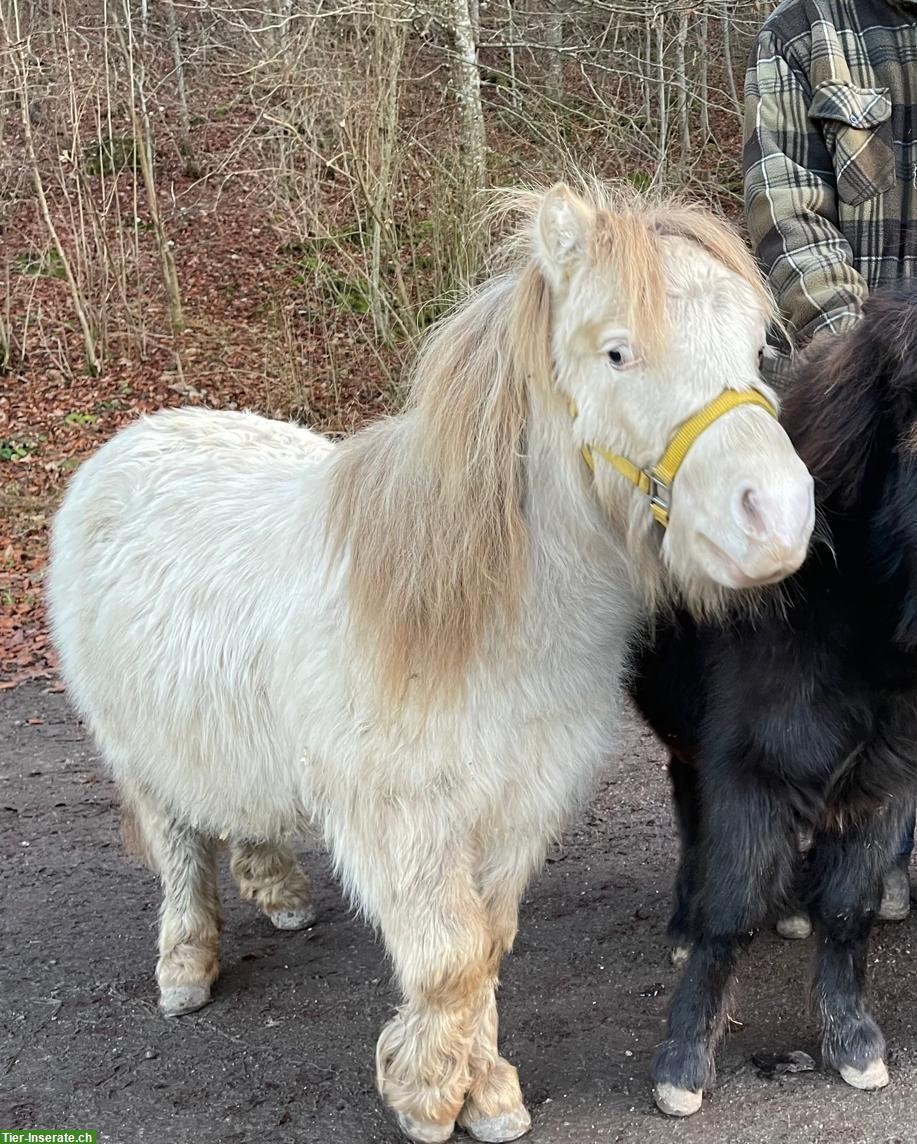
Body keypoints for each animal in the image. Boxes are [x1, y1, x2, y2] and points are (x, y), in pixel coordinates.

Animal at [46, 181, 813, 1144]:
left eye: (756, 349)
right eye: (617, 352)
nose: (776, 519)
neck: (469, 618)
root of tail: (133, 438)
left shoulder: (517, 807)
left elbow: (483, 949)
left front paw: (487, 1099)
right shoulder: (404, 821)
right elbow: (449, 961)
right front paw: (428, 1100)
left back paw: (279, 890)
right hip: (139, 747)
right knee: (180, 841)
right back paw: (185, 967)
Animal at [629, 285, 917, 1119]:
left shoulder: (885, 780)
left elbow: (849, 909)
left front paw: (851, 1042)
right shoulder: (749, 773)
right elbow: (728, 916)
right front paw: (682, 1066)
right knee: (689, 816)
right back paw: (681, 921)